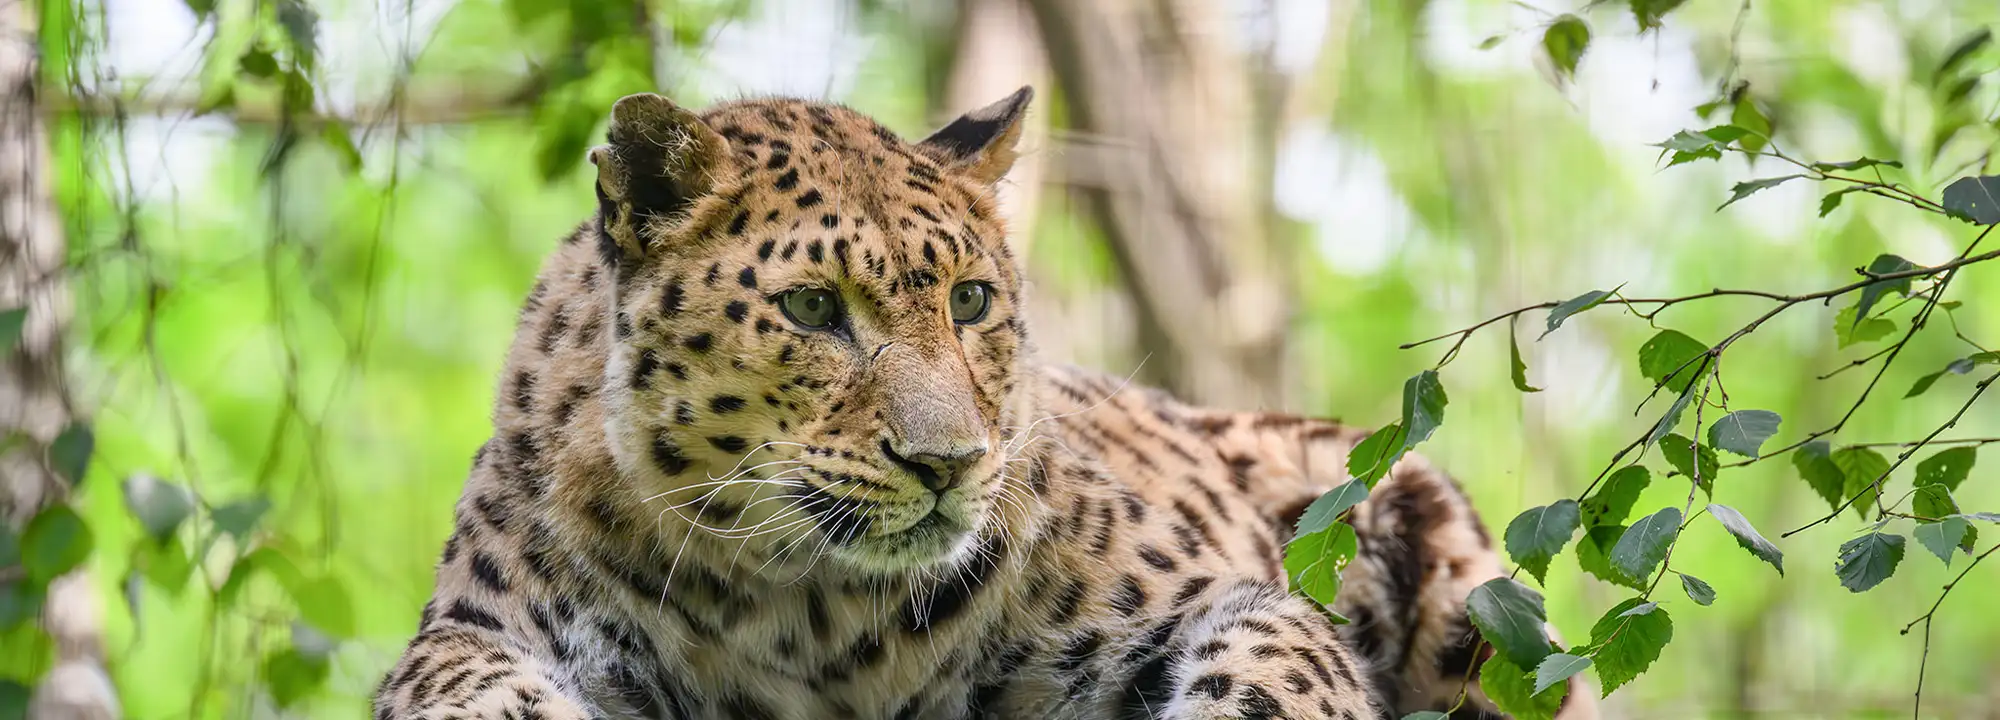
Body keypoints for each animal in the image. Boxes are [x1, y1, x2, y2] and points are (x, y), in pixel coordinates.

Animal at [374, 87, 1593, 719]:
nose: (948, 461)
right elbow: (468, 688)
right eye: (811, 307)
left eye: (969, 301)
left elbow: (1273, 673)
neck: (806, 609)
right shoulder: (477, 629)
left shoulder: (1220, 598)